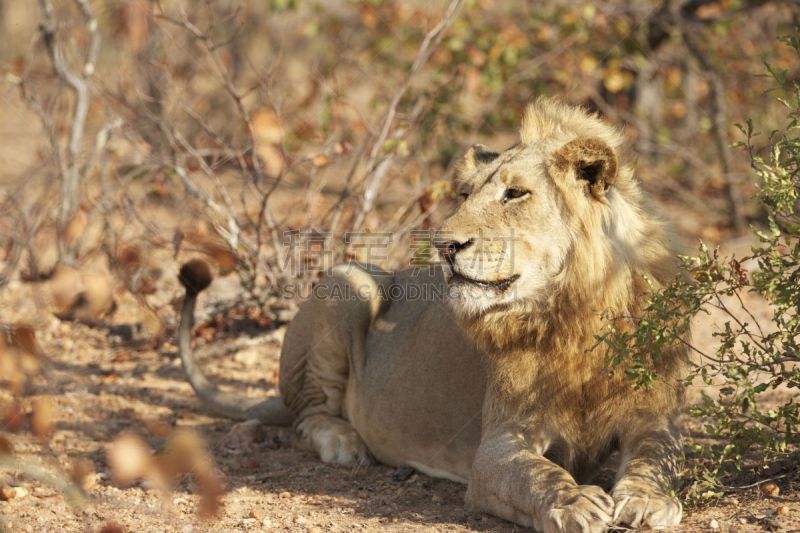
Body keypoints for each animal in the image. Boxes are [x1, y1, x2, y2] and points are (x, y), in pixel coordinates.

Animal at [180, 97, 688, 528]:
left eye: (515, 194)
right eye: (465, 195)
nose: (444, 246)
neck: (575, 313)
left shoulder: (653, 418)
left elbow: (656, 459)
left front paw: (646, 499)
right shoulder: (498, 448)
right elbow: (537, 476)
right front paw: (574, 501)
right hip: (346, 281)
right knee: (308, 415)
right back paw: (344, 443)